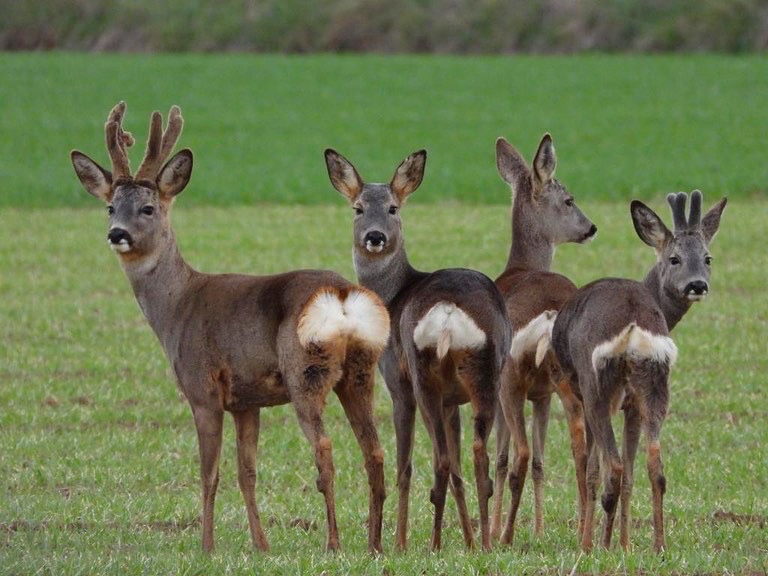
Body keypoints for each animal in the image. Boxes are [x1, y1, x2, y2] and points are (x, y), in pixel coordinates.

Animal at [70, 102, 390, 552]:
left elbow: (209, 474)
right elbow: (247, 472)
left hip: (304, 370)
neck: (177, 306)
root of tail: (343, 295)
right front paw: (261, 545)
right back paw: (374, 544)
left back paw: (334, 543)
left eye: (148, 208)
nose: (117, 234)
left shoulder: (202, 389)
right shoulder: (246, 400)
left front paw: (206, 546)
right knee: (374, 450)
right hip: (360, 372)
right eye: (110, 207)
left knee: (326, 447)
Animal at [322, 147, 510, 548]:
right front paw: (468, 541)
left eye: (393, 207)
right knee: (476, 457)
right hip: (487, 370)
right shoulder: (454, 400)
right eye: (358, 208)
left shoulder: (397, 381)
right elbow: (458, 470)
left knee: (440, 461)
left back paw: (434, 545)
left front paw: (398, 543)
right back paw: (485, 544)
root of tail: (449, 311)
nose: (375, 236)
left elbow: (405, 467)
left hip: (422, 375)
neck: (394, 295)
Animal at [488, 134, 596, 544]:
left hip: (510, 380)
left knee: (516, 454)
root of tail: (550, 316)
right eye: (569, 200)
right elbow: (540, 461)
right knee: (582, 446)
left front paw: (499, 526)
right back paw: (585, 533)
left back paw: (502, 536)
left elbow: (502, 459)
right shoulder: (543, 394)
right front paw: (538, 529)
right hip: (572, 380)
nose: (590, 227)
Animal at [552, 191, 728, 552]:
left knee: (613, 468)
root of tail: (633, 324)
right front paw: (626, 544)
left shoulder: (586, 395)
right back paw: (658, 545)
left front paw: (590, 542)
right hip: (656, 381)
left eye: (708, 258)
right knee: (655, 466)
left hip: (596, 385)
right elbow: (634, 473)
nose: (697, 285)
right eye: (674, 259)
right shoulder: (631, 404)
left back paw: (597, 546)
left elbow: (592, 470)